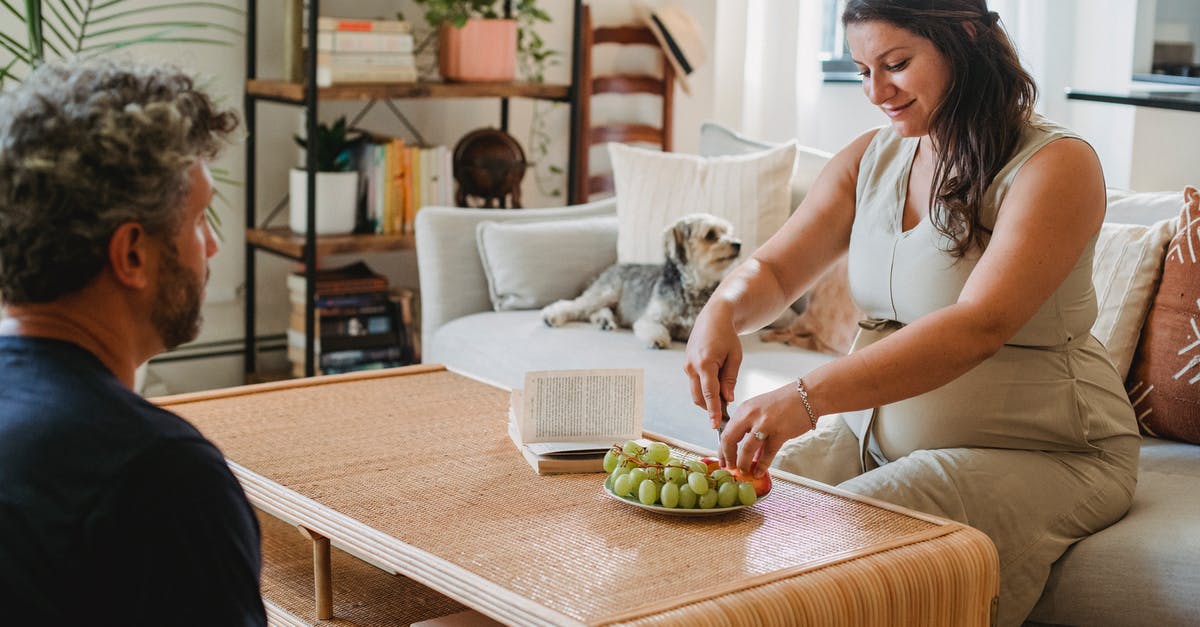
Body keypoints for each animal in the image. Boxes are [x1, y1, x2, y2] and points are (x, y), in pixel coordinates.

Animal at [537, 213, 739, 348]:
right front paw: (658, 339)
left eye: (729, 232)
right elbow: (654, 328)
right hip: (606, 292)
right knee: (574, 306)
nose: (737, 243)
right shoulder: (650, 318)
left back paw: (604, 321)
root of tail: (609, 269)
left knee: (592, 312)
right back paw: (551, 316)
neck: (693, 286)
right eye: (710, 235)